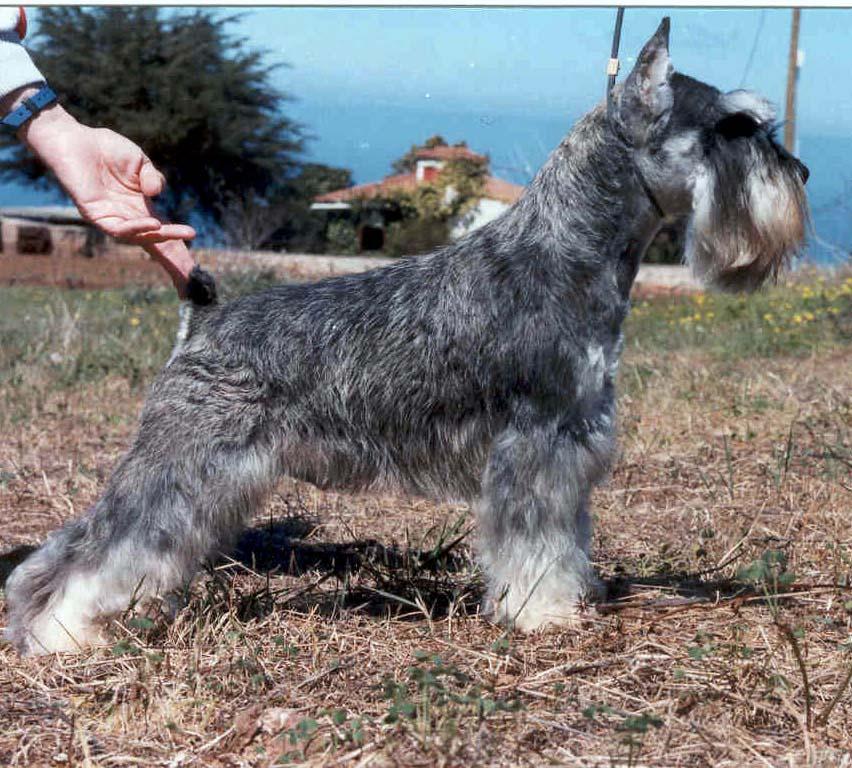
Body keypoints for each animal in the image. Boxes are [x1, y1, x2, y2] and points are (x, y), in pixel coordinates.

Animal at [5, 18, 809, 655]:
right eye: (733, 126)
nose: (799, 171)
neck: (566, 251)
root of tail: (203, 318)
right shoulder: (539, 443)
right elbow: (535, 540)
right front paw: (543, 614)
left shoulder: (573, 445)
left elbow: (567, 536)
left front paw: (572, 596)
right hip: (182, 462)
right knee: (95, 549)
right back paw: (59, 632)